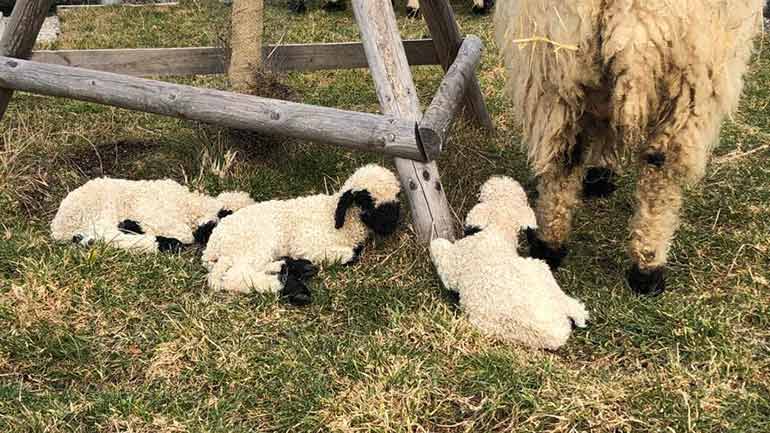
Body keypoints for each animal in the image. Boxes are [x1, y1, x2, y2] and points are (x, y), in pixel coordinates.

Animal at [51, 177, 255, 253]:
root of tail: (58, 226)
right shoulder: (156, 215)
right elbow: (186, 235)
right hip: (102, 208)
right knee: (108, 236)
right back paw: (162, 243)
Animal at [198, 165, 402, 304]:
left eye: (397, 198)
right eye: (365, 200)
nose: (391, 226)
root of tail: (212, 248)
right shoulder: (307, 244)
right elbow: (352, 253)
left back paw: (290, 268)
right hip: (254, 245)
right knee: (236, 277)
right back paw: (286, 286)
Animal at [492, 0, 760, 294]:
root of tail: (638, 16)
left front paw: (600, 173)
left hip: (558, 69)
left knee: (567, 158)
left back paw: (555, 245)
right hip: (690, 81)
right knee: (657, 178)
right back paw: (644, 268)